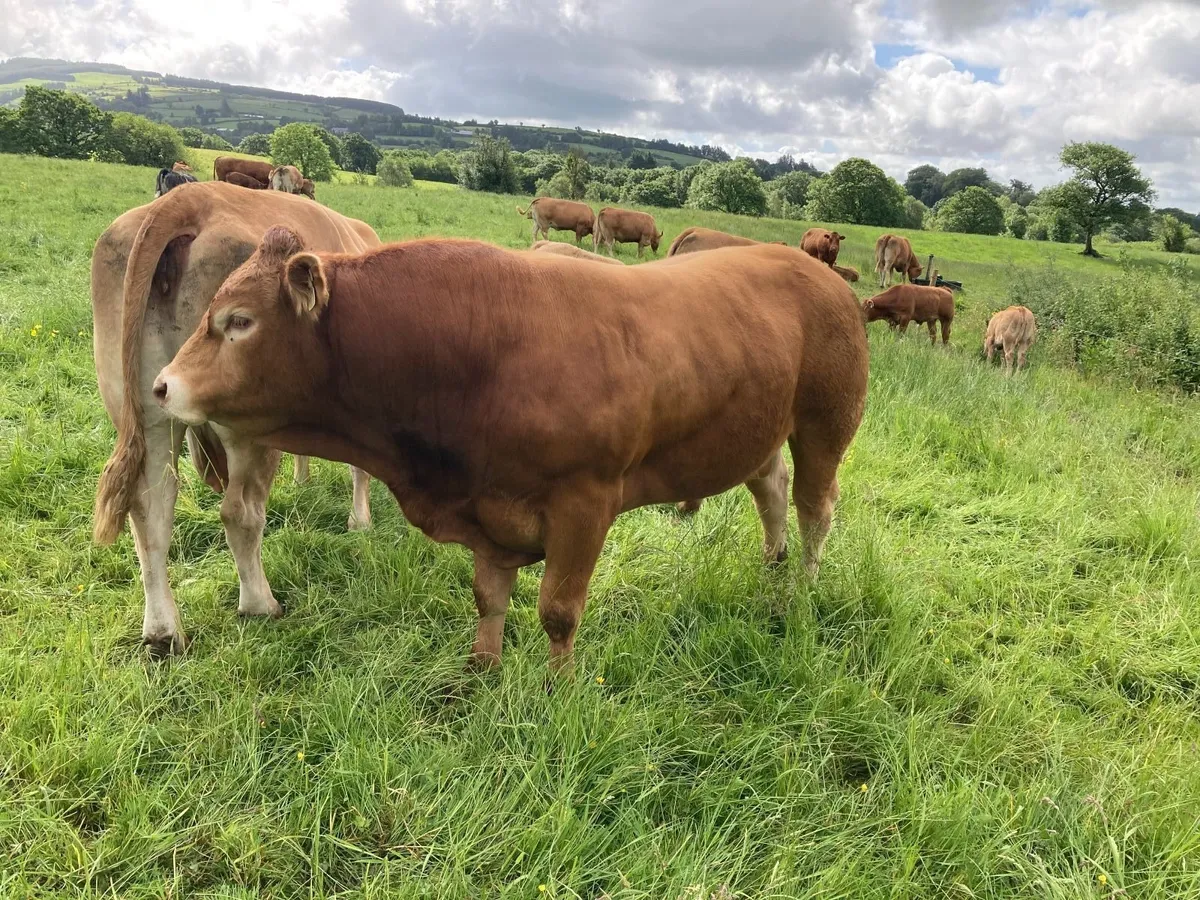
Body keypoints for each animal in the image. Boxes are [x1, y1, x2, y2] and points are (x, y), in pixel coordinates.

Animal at [91, 181, 381, 656]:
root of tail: (188, 198)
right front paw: (360, 522)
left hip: (144, 411)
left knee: (150, 510)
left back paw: (164, 634)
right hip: (243, 423)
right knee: (238, 511)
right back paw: (260, 604)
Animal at [151, 235, 869, 674]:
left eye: (239, 321)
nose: (161, 385)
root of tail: (821, 274)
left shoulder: (586, 502)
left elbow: (558, 611)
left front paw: (559, 690)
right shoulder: (487, 505)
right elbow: (489, 597)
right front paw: (482, 668)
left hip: (825, 424)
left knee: (815, 507)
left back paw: (801, 585)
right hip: (758, 426)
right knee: (771, 486)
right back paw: (773, 563)